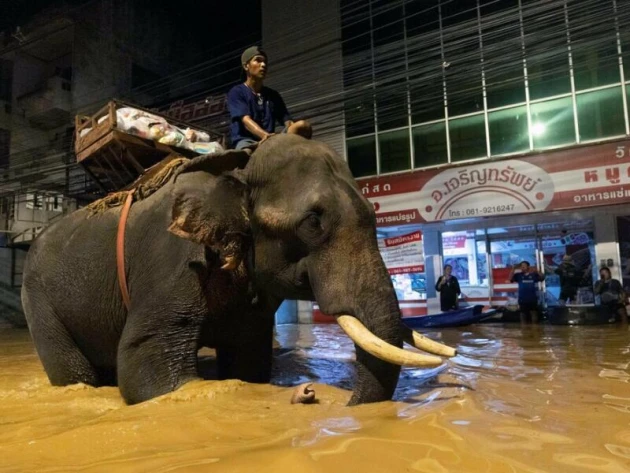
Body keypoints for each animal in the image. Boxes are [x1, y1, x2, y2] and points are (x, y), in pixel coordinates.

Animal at [21, 134, 454, 406]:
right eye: (313, 221)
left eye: (374, 215)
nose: (320, 397)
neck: (239, 165)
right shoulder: (173, 261)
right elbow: (148, 372)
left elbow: (248, 360)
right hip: (38, 300)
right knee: (74, 372)